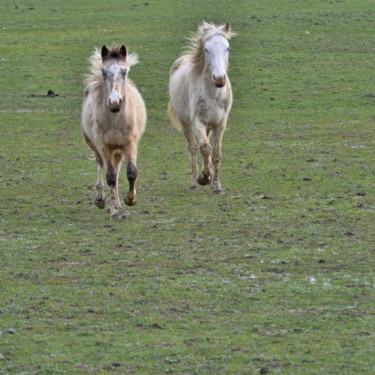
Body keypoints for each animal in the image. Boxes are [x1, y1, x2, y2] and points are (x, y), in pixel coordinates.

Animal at [81, 45, 146, 219]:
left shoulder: (130, 143)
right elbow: (110, 177)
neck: (115, 120)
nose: (115, 103)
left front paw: (130, 200)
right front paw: (115, 209)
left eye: (124, 72)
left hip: (119, 150)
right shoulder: (104, 146)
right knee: (102, 167)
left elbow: (131, 172)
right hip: (99, 148)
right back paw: (101, 200)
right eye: (104, 72)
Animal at [170, 20, 236, 195]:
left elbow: (216, 153)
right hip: (184, 122)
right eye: (207, 49)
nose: (219, 79)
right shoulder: (197, 123)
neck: (213, 95)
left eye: (227, 48)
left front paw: (216, 185)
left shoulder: (220, 123)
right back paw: (194, 182)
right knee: (193, 148)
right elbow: (205, 148)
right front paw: (204, 178)